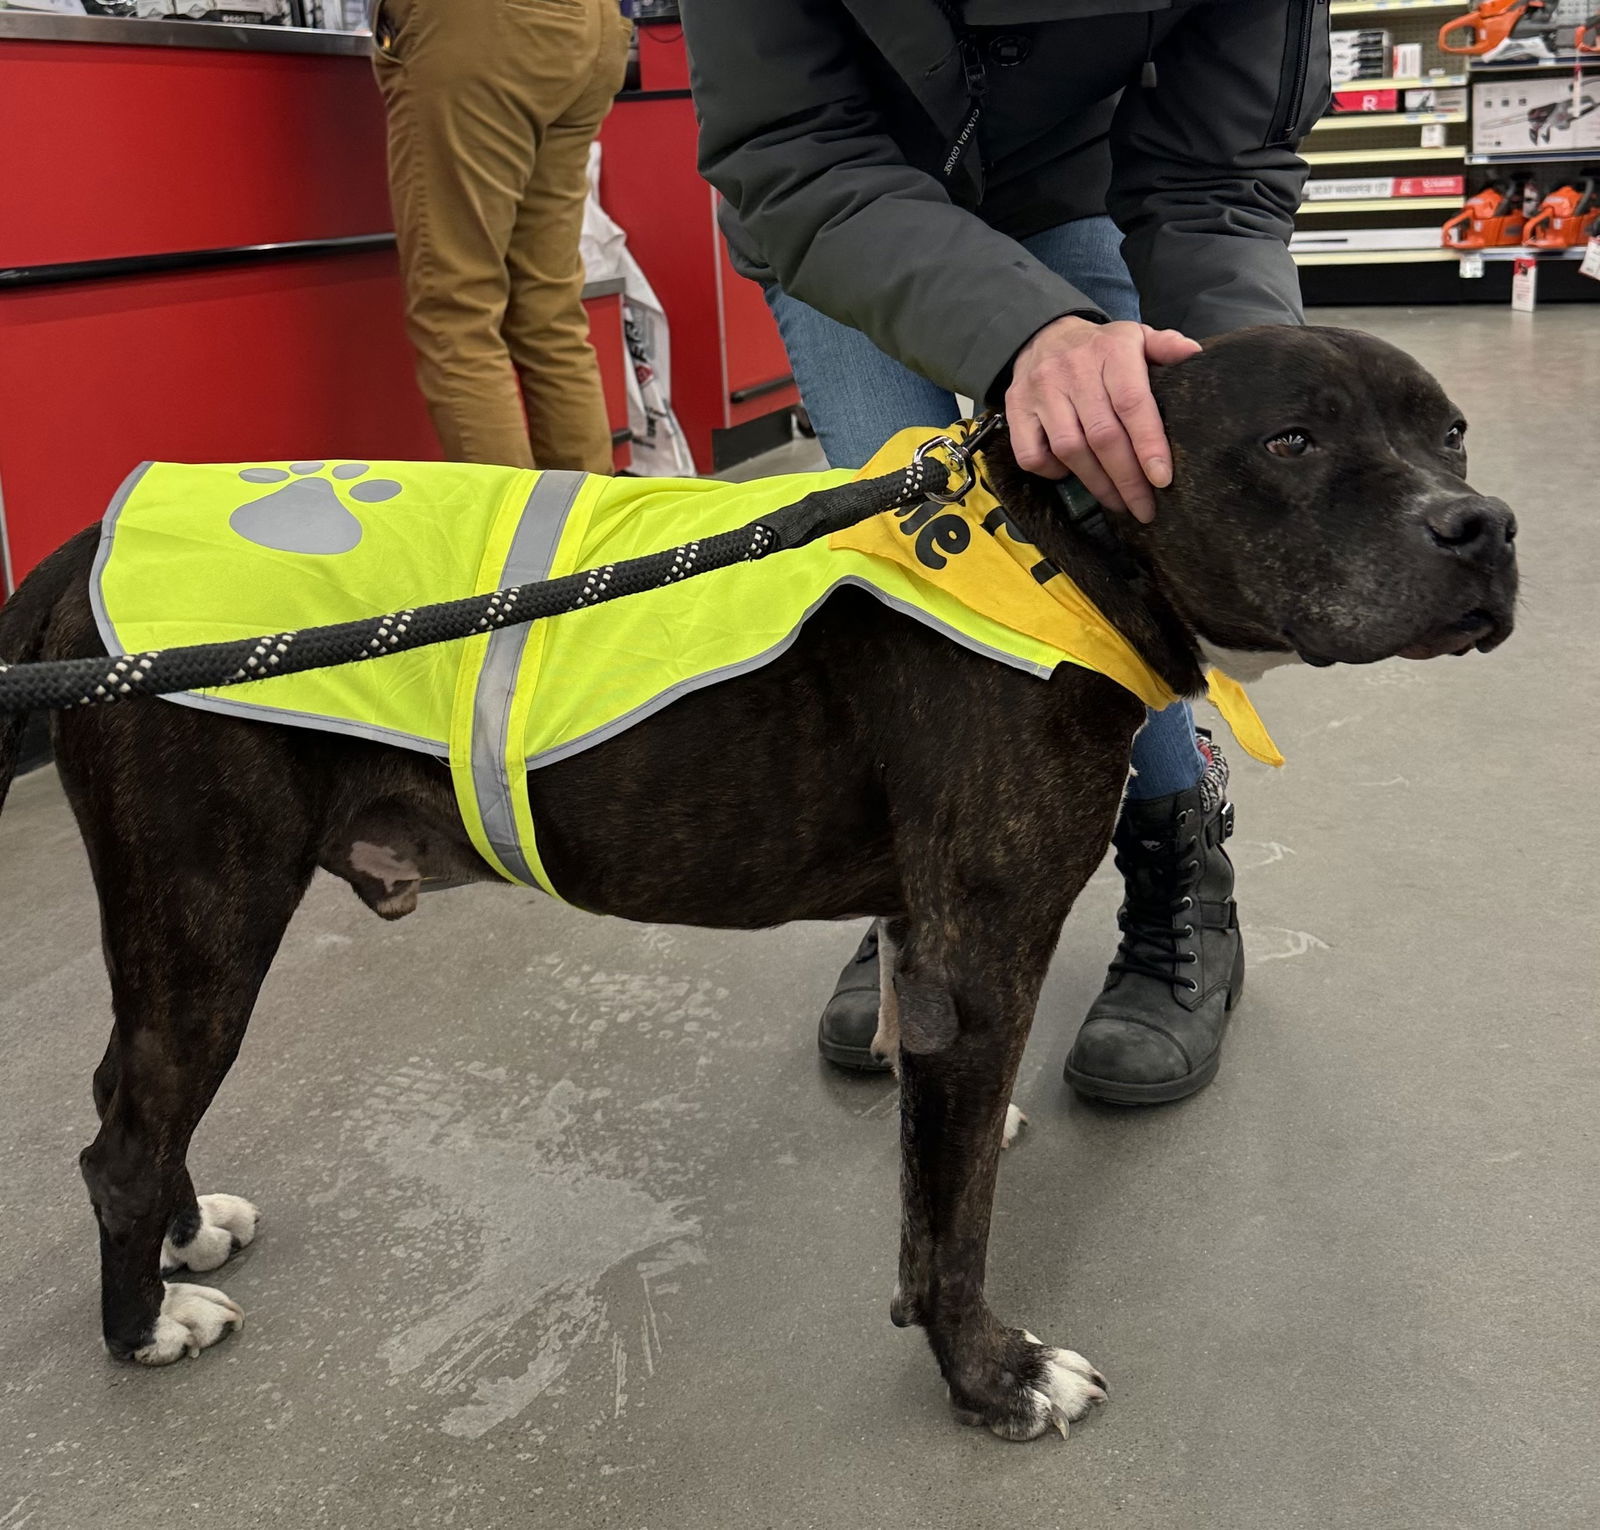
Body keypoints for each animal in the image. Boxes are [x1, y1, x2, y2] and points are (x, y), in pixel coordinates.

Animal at [0, 326, 1510, 1446]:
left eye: (1450, 434)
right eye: (1293, 442)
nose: (1481, 526)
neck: (1058, 535)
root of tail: (83, 551)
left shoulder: (925, 933)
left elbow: (935, 1137)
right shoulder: (983, 953)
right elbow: (950, 1226)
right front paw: (992, 1375)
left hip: (183, 927)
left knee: (127, 1093)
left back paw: (187, 1237)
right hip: (211, 907)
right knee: (120, 1135)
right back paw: (142, 1322)